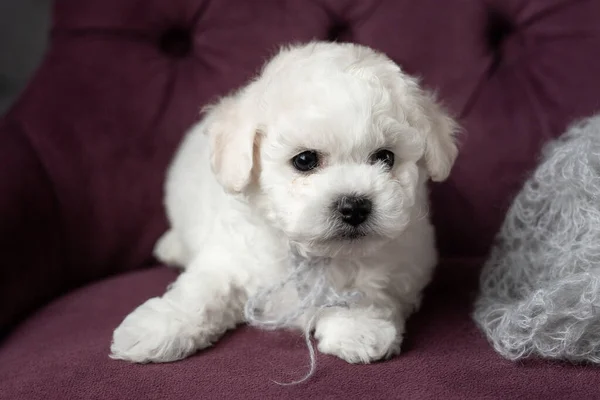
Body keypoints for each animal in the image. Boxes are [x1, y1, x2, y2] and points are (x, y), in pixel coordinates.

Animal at [110, 40, 458, 366]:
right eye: (304, 160)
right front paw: (158, 328)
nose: (355, 206)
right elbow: (201, 291)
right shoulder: (231, 257)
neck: (314, 255)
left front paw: (359, 327)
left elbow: (371, 285)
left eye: (386, 158)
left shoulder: (403, 262)